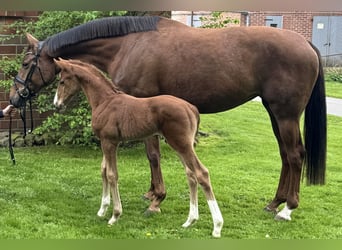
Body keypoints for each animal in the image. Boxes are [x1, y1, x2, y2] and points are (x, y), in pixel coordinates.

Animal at [53, 59, 223, 238]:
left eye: (62, 81)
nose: (57, 104)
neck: (105, 101)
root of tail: (192, 109)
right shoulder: (105, 142)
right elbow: (103, 170)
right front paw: (102, 210)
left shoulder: (109, 142)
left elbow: (112, 175)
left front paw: (115, 215)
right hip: (180, 145)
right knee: (191, 175)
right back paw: (190, 221)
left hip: (181, 144)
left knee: (201, 173)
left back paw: (217, 227)